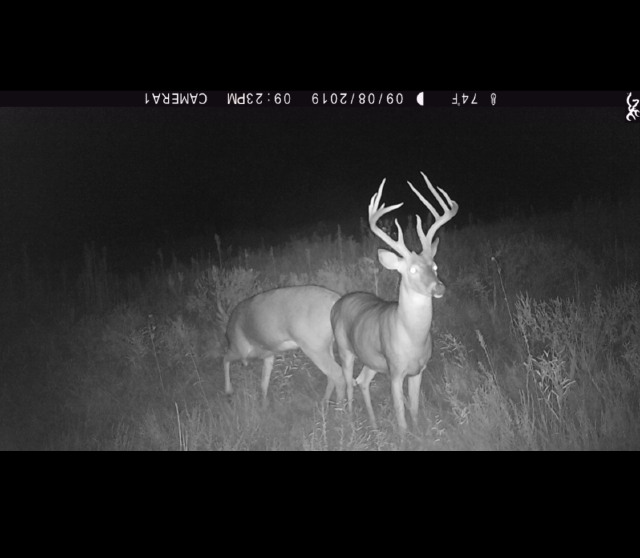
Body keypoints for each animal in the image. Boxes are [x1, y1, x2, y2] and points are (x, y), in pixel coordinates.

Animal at [331, 172, 458, 433]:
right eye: (411, 270)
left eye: (435, 266)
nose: (438, 287)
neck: (413, 338)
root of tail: (338, 303)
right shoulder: (395, 370)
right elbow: (400, 412)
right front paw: (403, 436)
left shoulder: (418, 370)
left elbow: (415, 407)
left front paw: (419, 432)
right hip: (345, 349)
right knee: (348, 383)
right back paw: (352, 422)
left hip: (371, 358)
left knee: (362, 381)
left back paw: (374, 425)